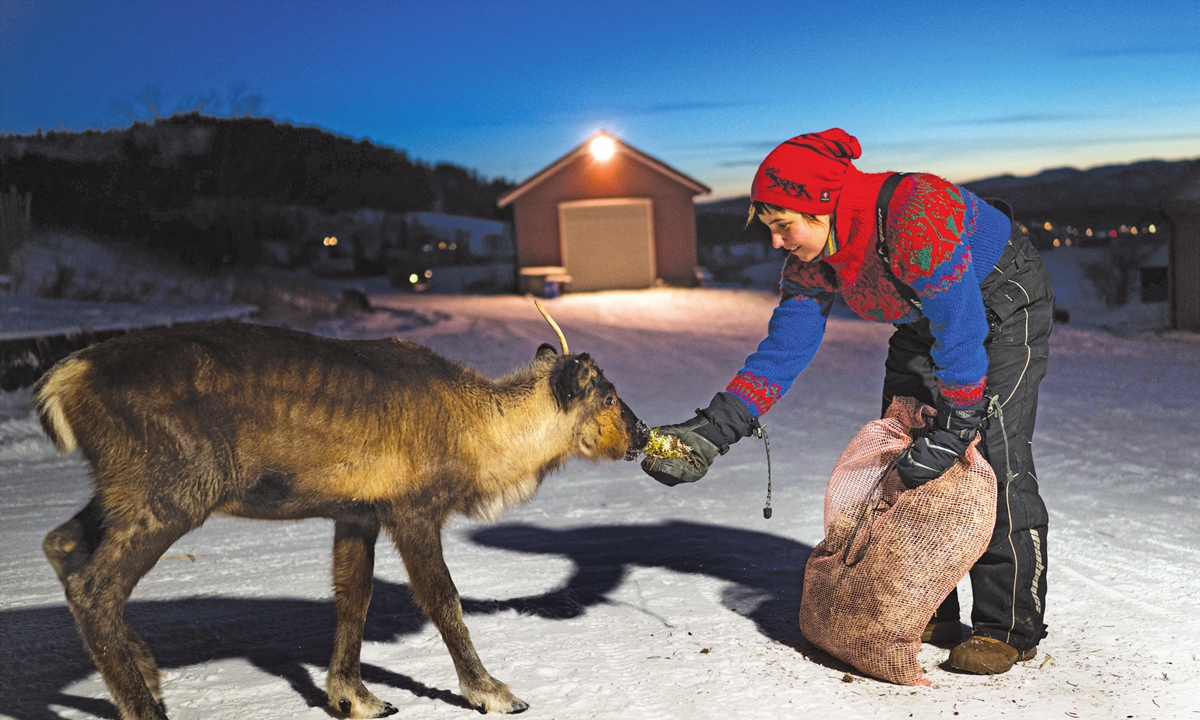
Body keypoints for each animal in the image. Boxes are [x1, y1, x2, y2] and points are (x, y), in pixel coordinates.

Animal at [36, 300, 648, 719]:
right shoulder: (412, 509)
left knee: (61, 544)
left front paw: (354, 697)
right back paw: (147, 704)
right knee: (95, 585)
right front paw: (491, 692)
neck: (480, 439)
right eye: (608, 396)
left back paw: (148, 673)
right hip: (174, 487)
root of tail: (61, 382)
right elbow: (443, 599)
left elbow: (353, 597)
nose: (643, 435)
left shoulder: (357, 512)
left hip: (123, 486)